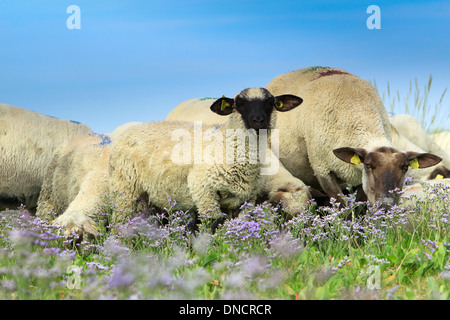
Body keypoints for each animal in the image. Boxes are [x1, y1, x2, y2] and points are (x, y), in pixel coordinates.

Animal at [110, 87, 302, 228]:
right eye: (239, 104)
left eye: (270, 103)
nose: (258, 120)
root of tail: (130, 130)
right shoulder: (203, 190)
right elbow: (213, 224)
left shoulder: (246, 200)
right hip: (125, 190)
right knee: (119, 223)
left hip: (148, 197)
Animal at [264, 66, 442, 209]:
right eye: (369, 165)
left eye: (405, 167)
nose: (386, 205)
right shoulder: (323, 171)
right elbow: (342, 207)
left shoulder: (360, 179)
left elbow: (360, 208)